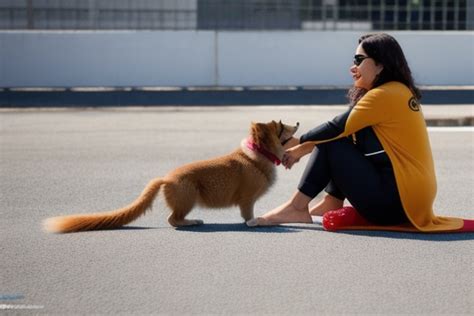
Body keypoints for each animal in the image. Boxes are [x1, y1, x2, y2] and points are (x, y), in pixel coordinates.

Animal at [43, 119, 296, 233]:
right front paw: (254, 222)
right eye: (281, 126)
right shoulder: (247, 199)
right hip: (188, 198)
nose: (298, 122)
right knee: (173, 219)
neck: (258, 154)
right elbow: (247, 214)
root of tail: (165, 179)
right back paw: (193, 221)